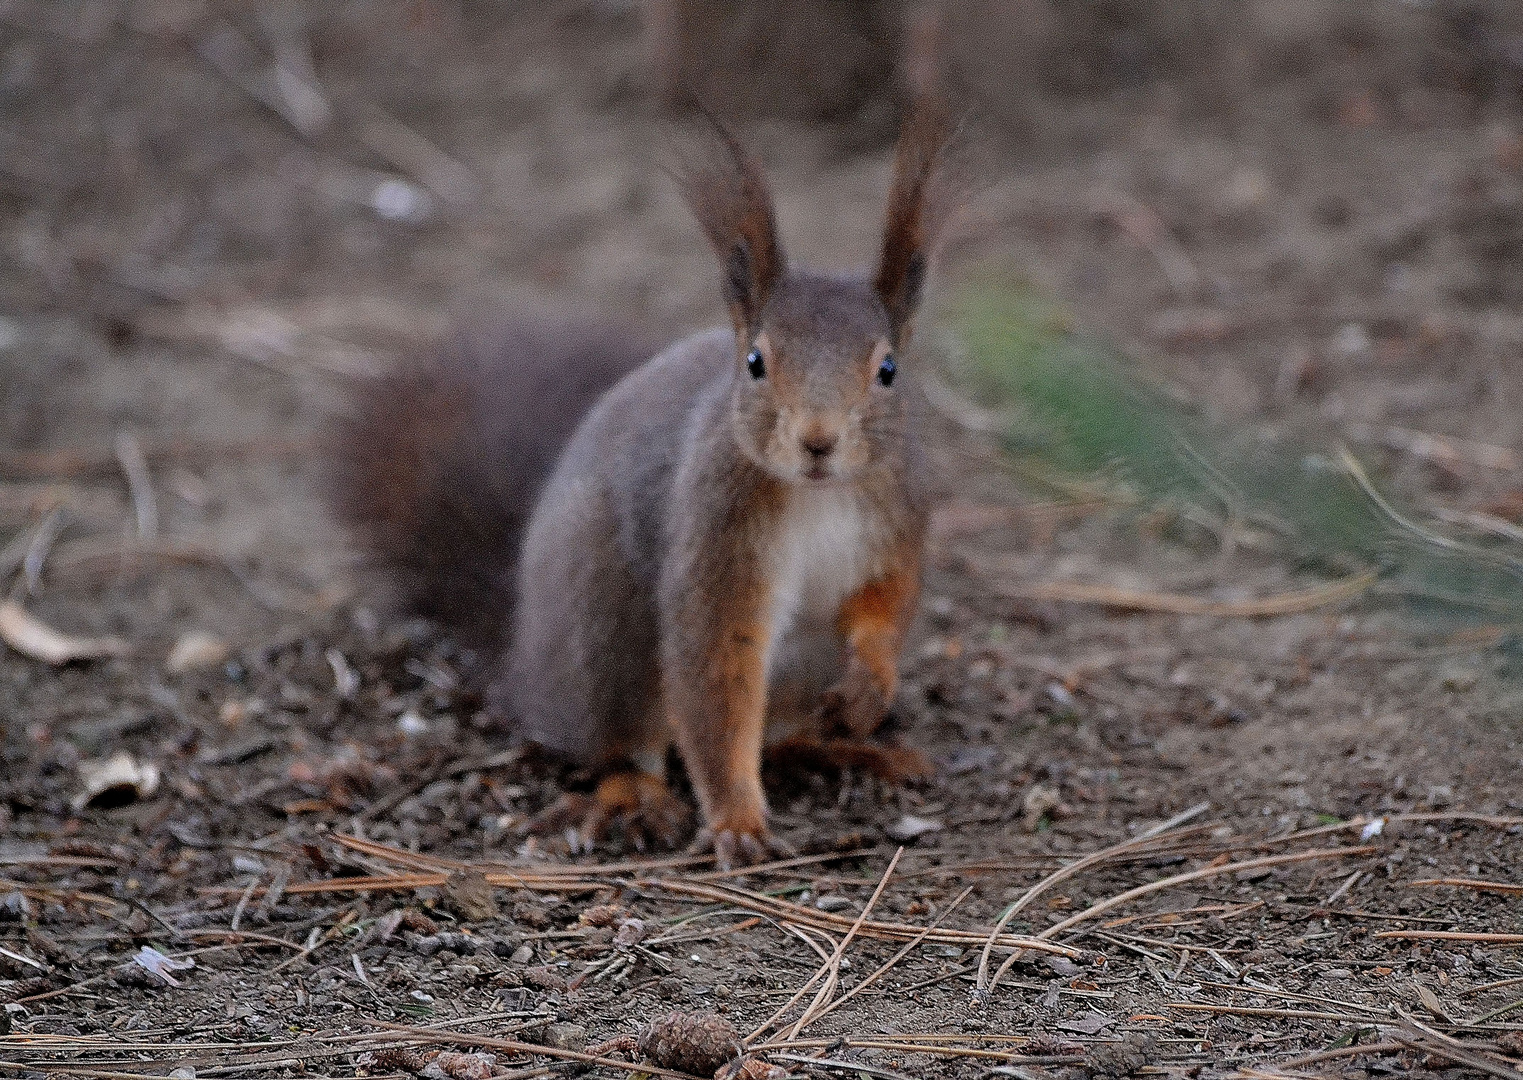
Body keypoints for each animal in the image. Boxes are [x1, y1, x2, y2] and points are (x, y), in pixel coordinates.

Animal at [328, 105, 956, 865]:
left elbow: (884, 605)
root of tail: (526, 666)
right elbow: (714, 676)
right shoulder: (712, 538)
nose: (818, 441)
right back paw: (637, 794)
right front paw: (736, 820)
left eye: (888, 370)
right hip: (606, 638)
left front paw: (870, 686)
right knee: (625, 745)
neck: (818, 493)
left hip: (798, 671)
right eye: (755, 362)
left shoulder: (897, 520)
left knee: (777, 736)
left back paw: (848, 750)